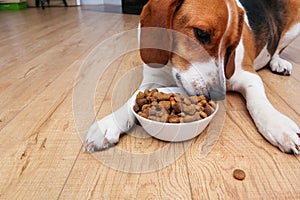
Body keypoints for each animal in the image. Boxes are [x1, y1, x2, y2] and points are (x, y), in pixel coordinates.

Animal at [85, 0, 300, 153]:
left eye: (231, 45)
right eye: (201, 34)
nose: (219, 94)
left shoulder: (248, 75)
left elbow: (258, 102)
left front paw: (278, 124)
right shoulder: (153, 80)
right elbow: (131, 101)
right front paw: (108, 124)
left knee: (277, 48)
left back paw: (278, 63)